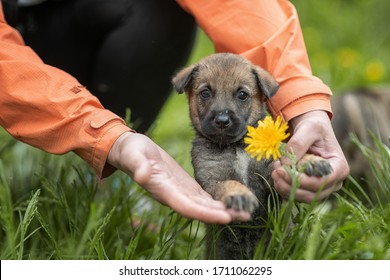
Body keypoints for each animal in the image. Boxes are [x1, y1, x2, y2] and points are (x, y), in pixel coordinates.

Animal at [172, 53, 330, 260]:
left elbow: (290, 155)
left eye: (242, 94)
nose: (222, 120)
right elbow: (229, 183)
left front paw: (311, 161)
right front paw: (239, 194)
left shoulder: (269, 177)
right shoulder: (211, 179)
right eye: (205, 93)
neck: (236, 147)